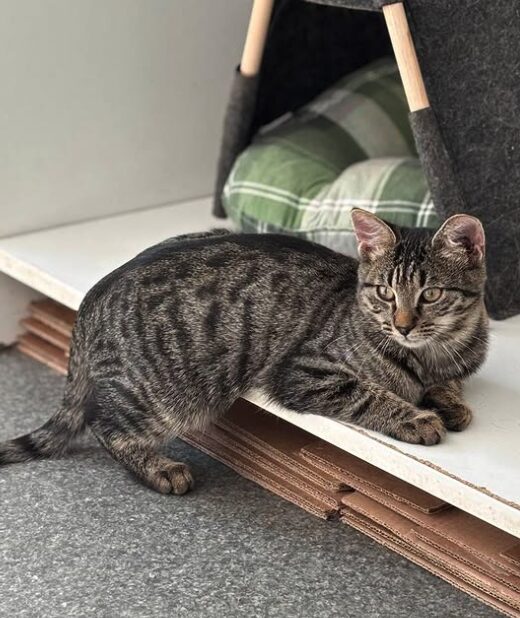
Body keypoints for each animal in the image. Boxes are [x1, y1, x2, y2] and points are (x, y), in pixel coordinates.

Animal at [0, 209, 488, 494]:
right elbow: (371, 394)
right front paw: (417, 417)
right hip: (163, 395)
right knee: (104, 425)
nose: (403, 325)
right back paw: (160, 469)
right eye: (386, 293)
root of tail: (93, 295)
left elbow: (451, 383)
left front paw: (450, 401)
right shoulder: (302, 374)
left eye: (430, 294)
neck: (432, 351)